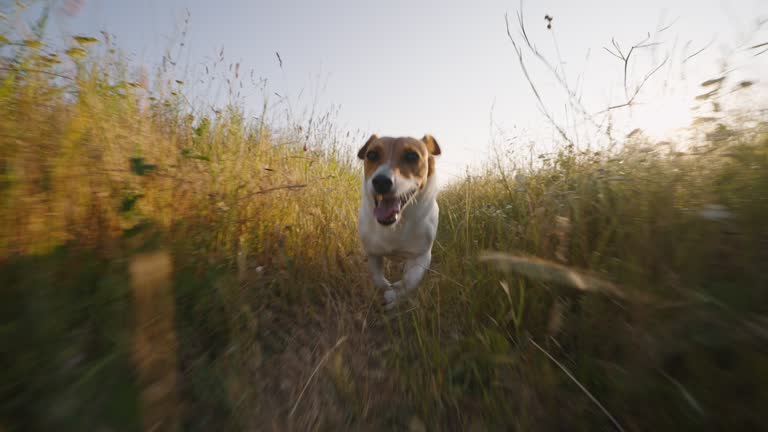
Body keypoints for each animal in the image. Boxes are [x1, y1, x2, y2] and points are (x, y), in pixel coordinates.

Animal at [356, 133, 440, 308]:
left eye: (412, 156)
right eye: (371, 155)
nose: (381, 181)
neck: (395, 226)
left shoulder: (421, 257)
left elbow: (409, 282)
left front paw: (394, 295)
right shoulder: (372, 253)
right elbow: (378, 279)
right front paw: (387, 288)